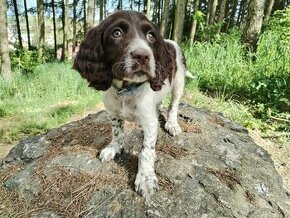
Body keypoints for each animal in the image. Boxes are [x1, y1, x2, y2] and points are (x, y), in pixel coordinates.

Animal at [73, 9, 188, 198]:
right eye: (116, 33)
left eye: (151, 36)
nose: (143, 56)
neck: (126, 90)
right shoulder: (113, 113)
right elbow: (117, 132)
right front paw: (113, 148)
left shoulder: (149, 123)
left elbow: (146, 151)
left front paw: (146, 178)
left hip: (178, 82)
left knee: (173, 105)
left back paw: (172, 124)